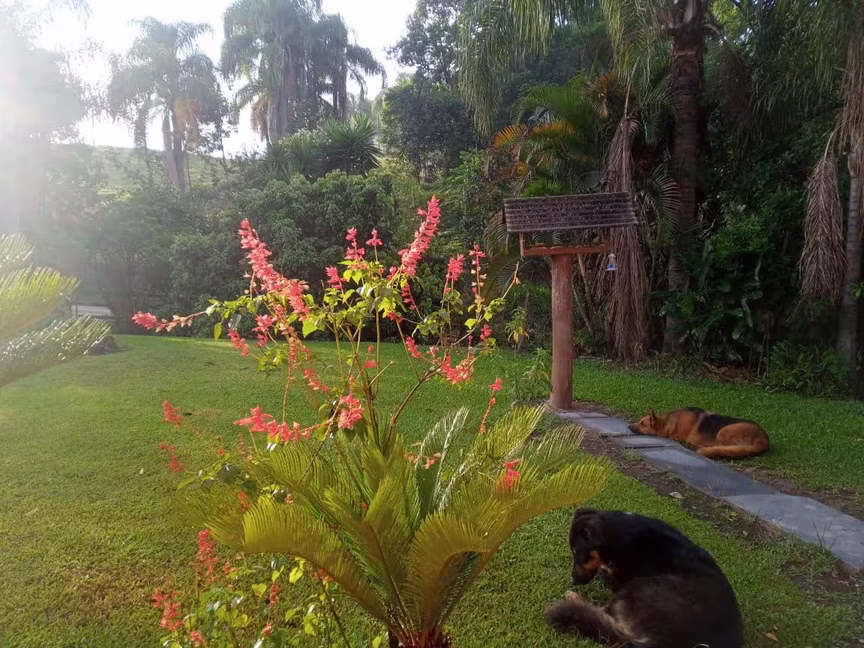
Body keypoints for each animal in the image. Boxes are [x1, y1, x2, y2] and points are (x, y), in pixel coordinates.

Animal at [546, 509, 743, 648]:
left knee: (603, 614)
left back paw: (574, 599)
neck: (616, 533)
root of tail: (660, 641)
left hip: (640, 586)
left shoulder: (619, 578)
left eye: (575, 552)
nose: (573, 581)